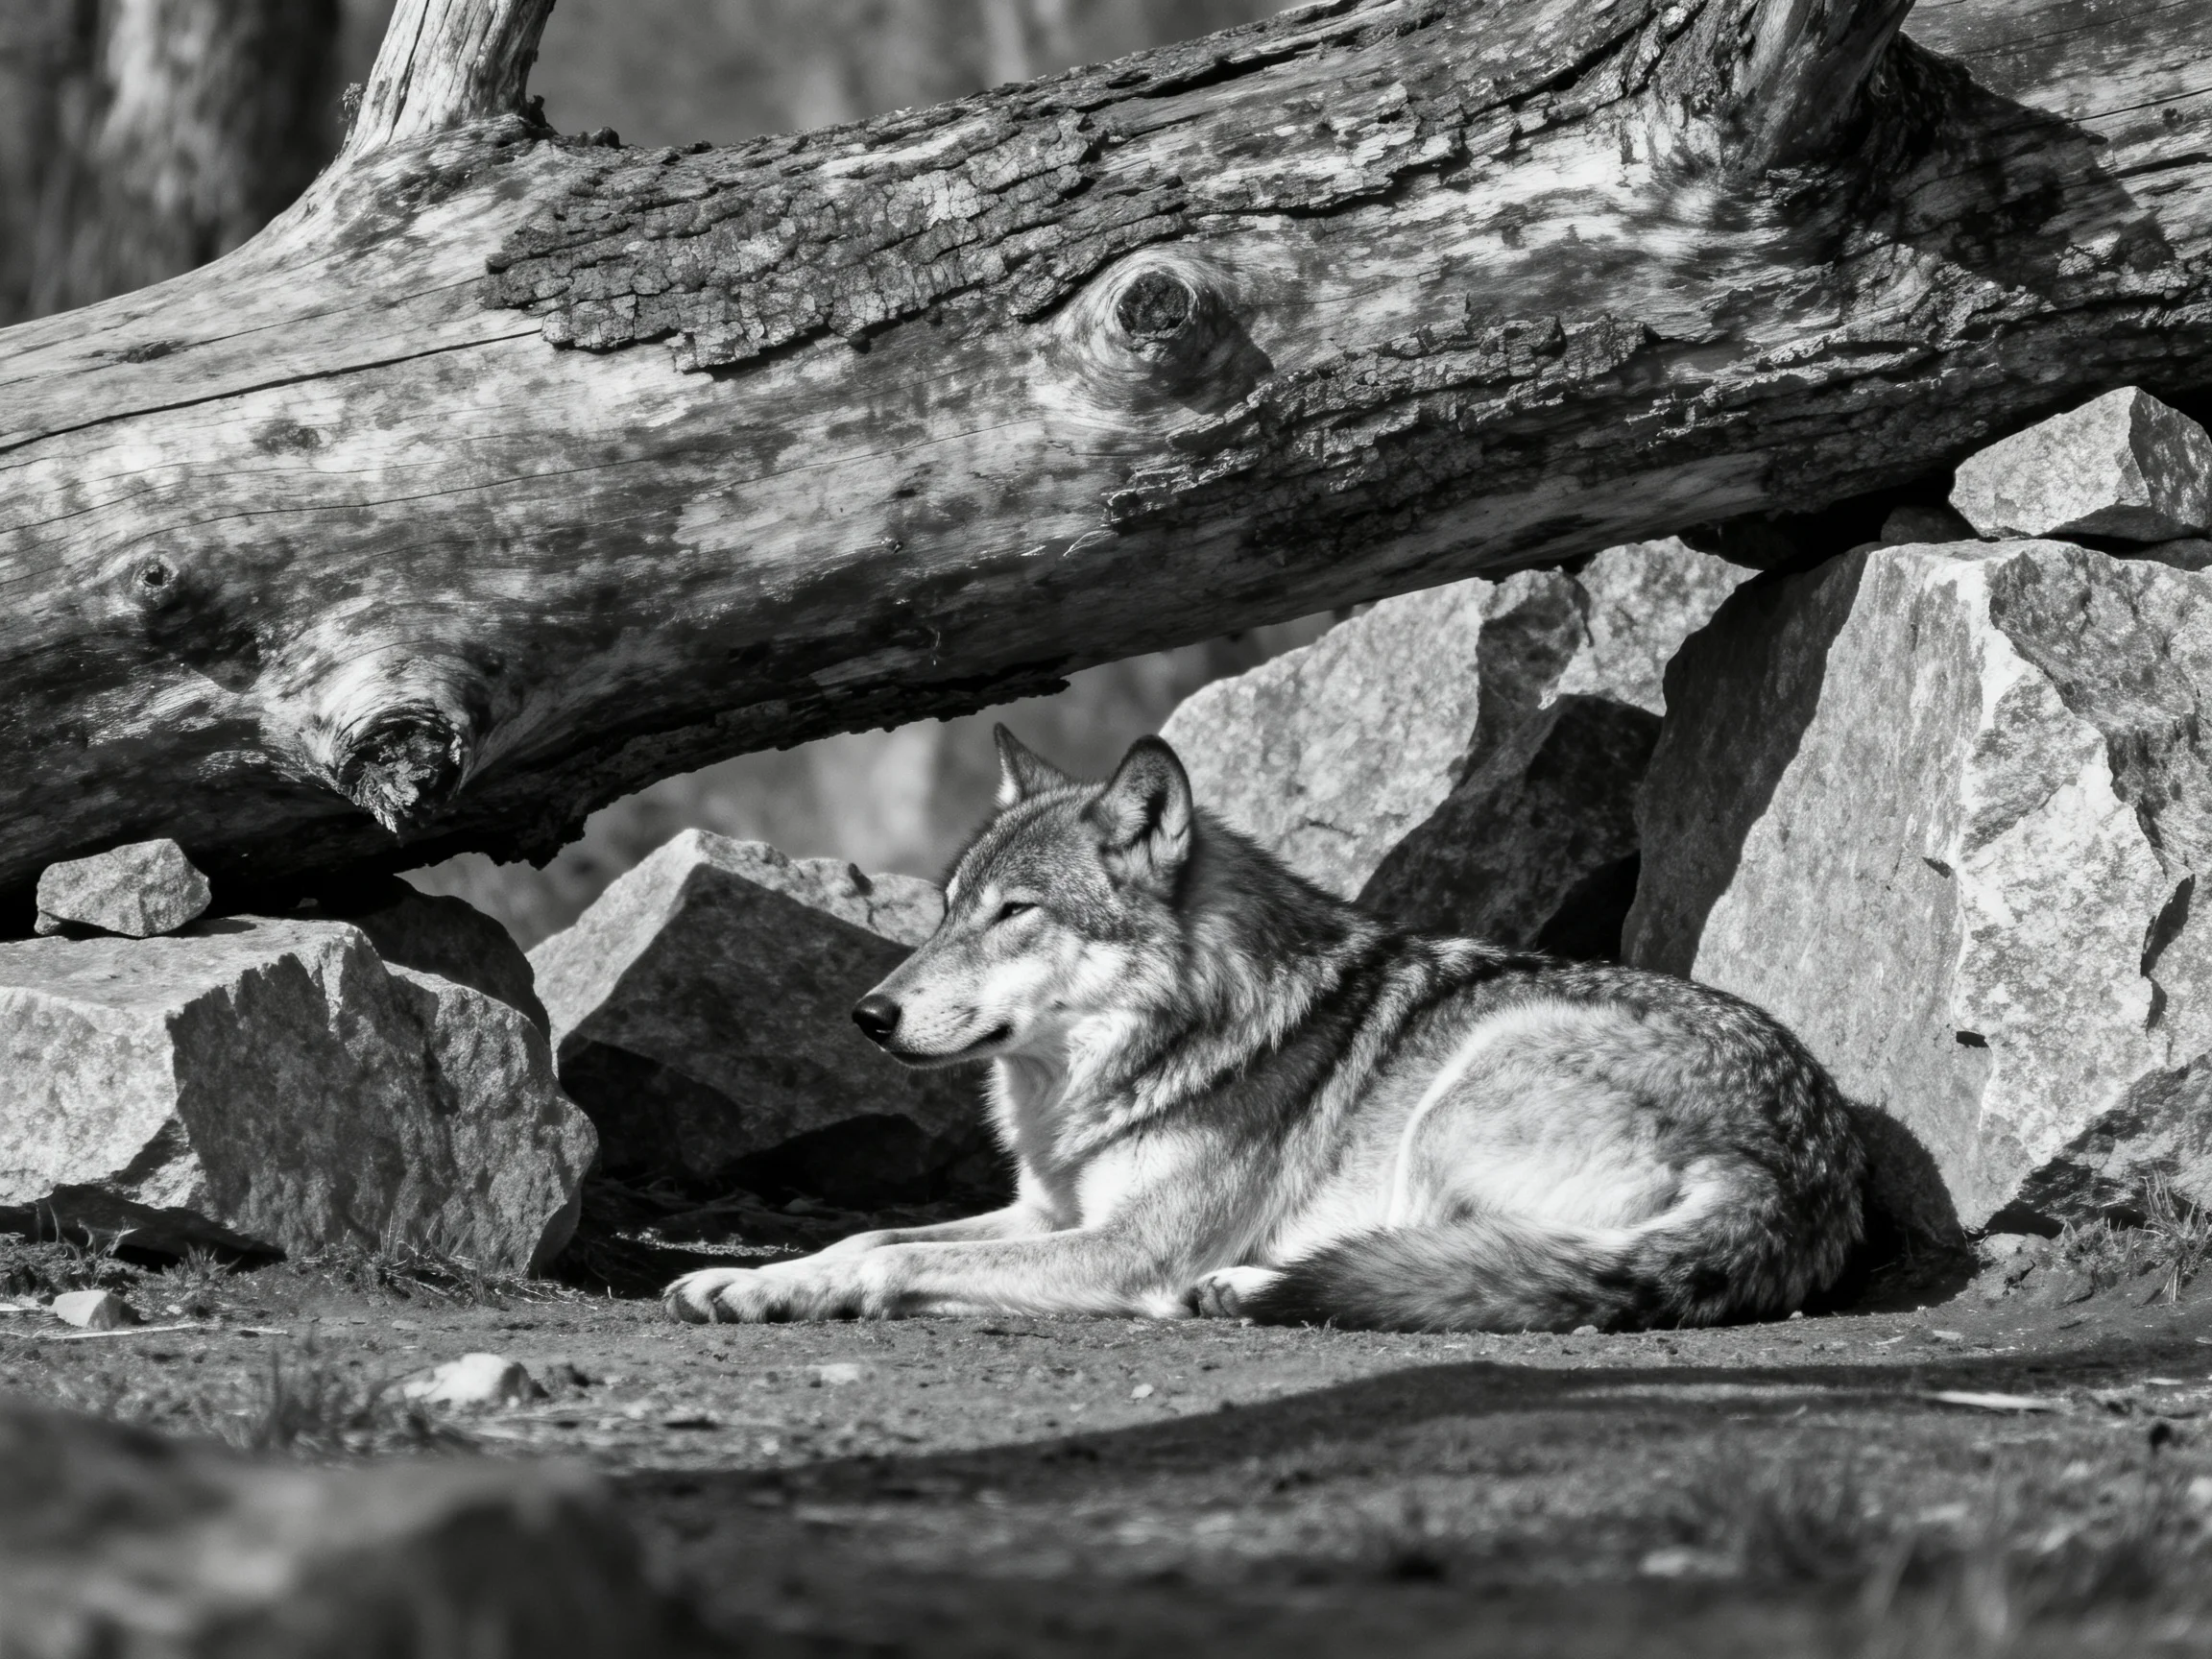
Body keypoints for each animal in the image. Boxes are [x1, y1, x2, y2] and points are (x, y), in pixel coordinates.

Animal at [665, 727, 1865, 1331]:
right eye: (950, 907)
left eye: (1017, 913)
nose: (868, 1015)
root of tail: (1805, 1163)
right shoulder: (1045, 1210)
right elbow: (869, 1238)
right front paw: (749, 1278)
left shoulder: (1124, 1248)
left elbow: (892, 1261)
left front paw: (780, 1291)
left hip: (1461, 1091)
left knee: (1495, 1266)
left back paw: (1245, 1289)